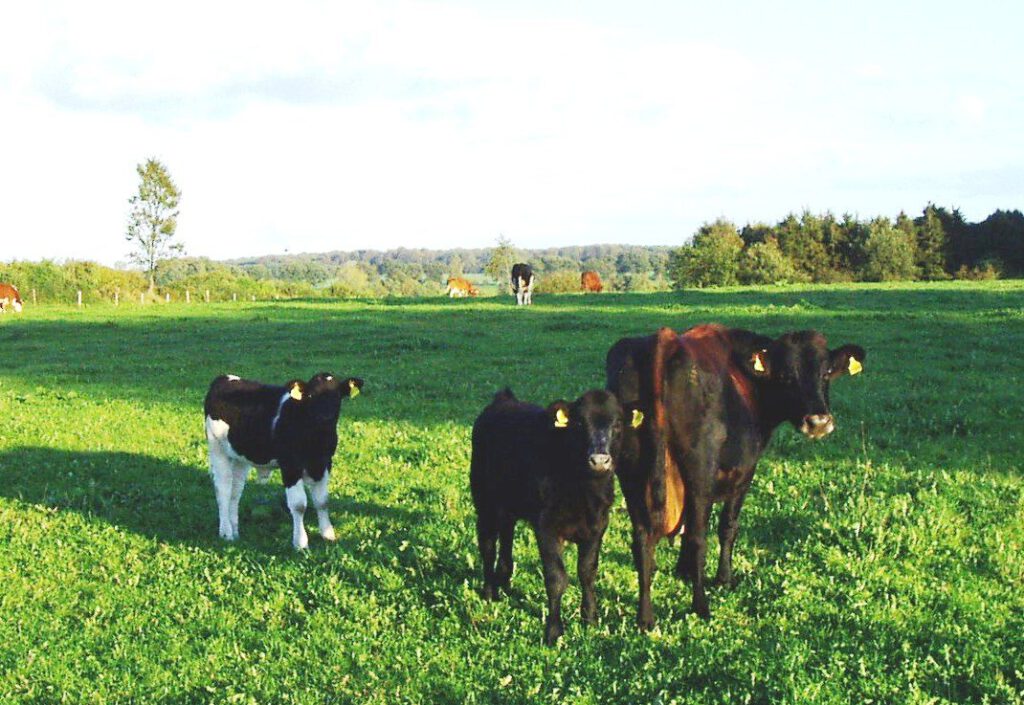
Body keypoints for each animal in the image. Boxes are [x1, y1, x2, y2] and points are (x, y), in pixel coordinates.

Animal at [202, 370, 364, 549]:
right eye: (311, 395)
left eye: (337, 395)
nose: (325, 417)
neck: (315, 440)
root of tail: (223, 378)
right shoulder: (290, 465)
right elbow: (299, 505)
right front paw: (300, 543)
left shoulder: (324, 463)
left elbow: (322, 501)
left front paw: (328, 535)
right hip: (217, 448)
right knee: (223, 489)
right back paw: (226, 533)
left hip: (240, 458)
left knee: (235, 492)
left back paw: (235, 531)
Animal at [468, 385, 638, 643]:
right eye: (579, 422)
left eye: (617, 423)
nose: (599, 460)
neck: (582, 490)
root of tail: (504, 400)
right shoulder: (546, 527)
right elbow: (556, 578)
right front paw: (553, 631)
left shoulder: (598, 525)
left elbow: (587, 572)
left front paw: (590, 618)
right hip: (485, 503)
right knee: (487, 546)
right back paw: (490, 592)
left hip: (509, 506)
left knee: (506, 536)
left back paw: (504, 581)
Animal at [606, 325, 864, 627]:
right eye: (786, 376)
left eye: (825, 373)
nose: (818, 422)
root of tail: (665, 340)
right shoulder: (743, 473)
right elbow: (727, 528)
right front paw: (723, 579)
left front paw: (682, 571)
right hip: (699, 474)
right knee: (698, 539)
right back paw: (701, 607)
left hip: (632, 476)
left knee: (642, 541)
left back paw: (645, 617)